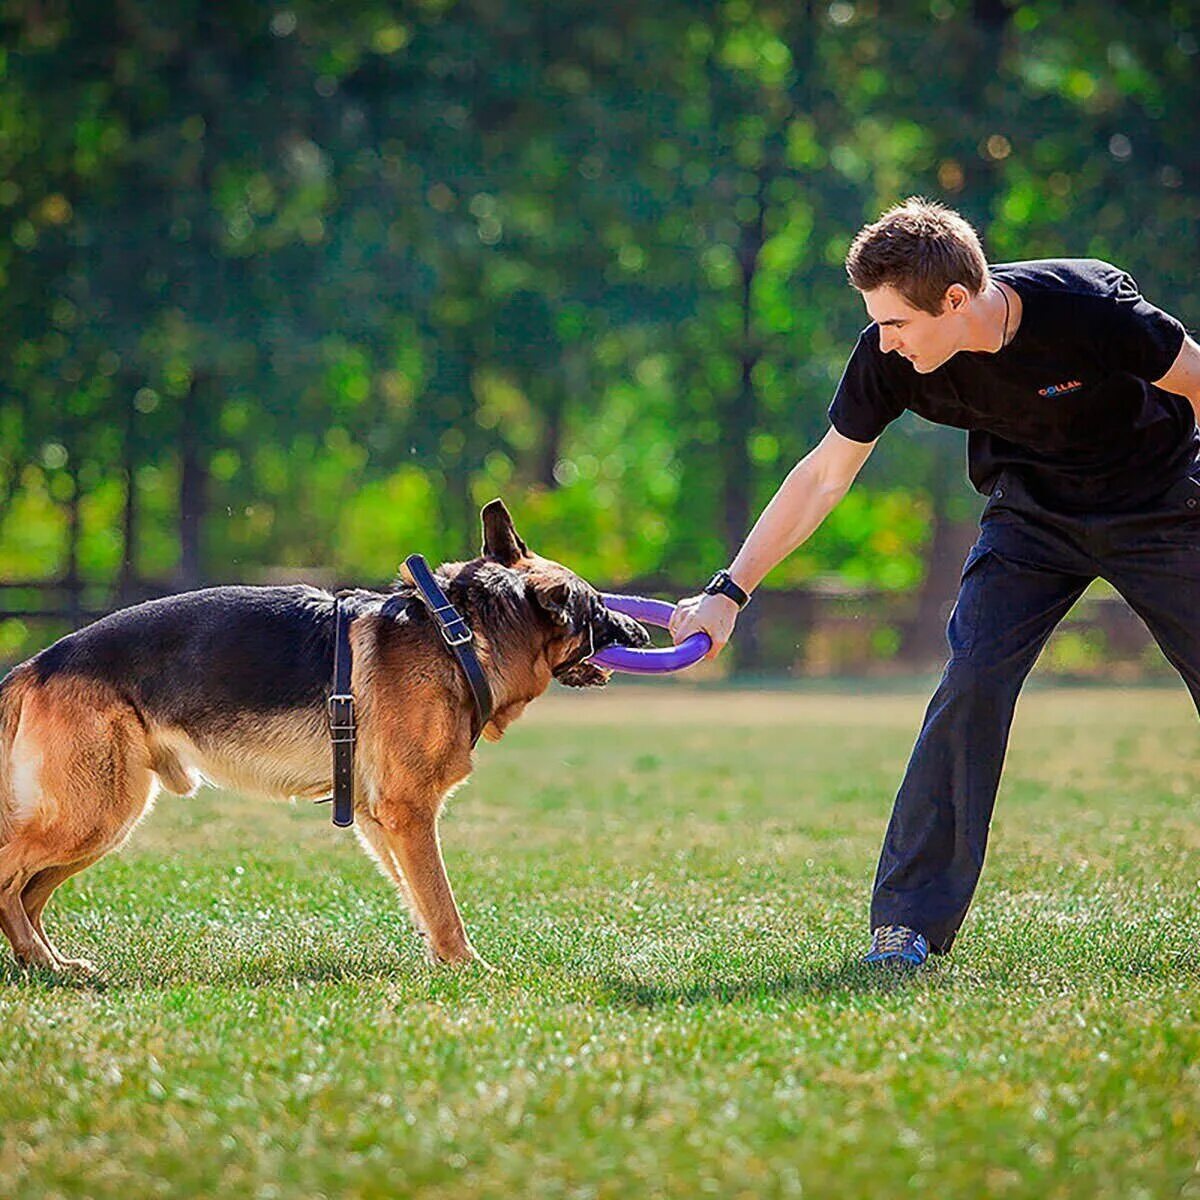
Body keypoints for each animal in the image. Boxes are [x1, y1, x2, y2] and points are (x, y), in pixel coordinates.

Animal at [0, 496, 648, 974]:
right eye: (596, 609)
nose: (642, 630)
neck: (459, 635)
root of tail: (38, 663)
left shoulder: (381, 819)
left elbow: (420, 897)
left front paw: (443, 964)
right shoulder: (410, 812)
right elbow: (441, 901)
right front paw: (471, 968)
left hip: (99, 822)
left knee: (27, 893)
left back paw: (47, 963)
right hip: (94, 813)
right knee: (13, 879)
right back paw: (41, 962)